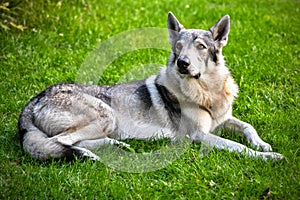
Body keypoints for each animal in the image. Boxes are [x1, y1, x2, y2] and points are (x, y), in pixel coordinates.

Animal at [17, 11, 282, 161]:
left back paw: (118, 146)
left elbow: (248, 127)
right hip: (106, 115)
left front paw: (262, 144)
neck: (206, 92)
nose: (182, 63)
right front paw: (267, 157)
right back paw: (92, 156)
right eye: (179, 47)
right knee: (62, 143)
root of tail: (33, 101)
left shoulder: (224, 120)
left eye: (201, 47)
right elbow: (237, 146)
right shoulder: (198, 135)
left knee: (74, 142)